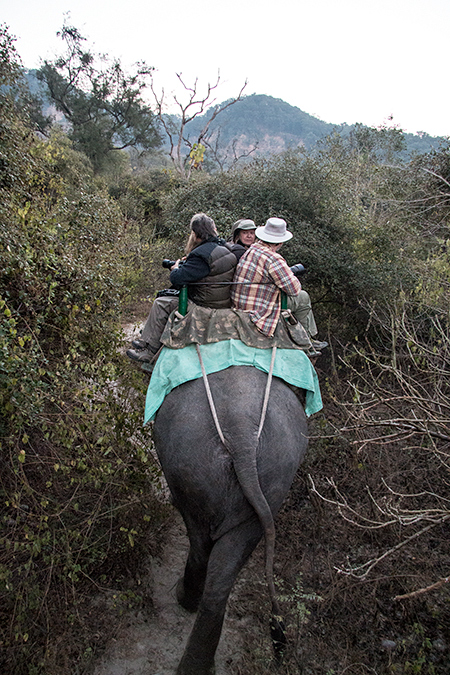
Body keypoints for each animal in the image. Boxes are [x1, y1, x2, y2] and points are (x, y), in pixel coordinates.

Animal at [152, 364, 310, 675]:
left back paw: (185, 600)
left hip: (189, 463)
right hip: (274, 472)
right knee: (225, 567)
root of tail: (241, 433)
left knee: (199, 540)